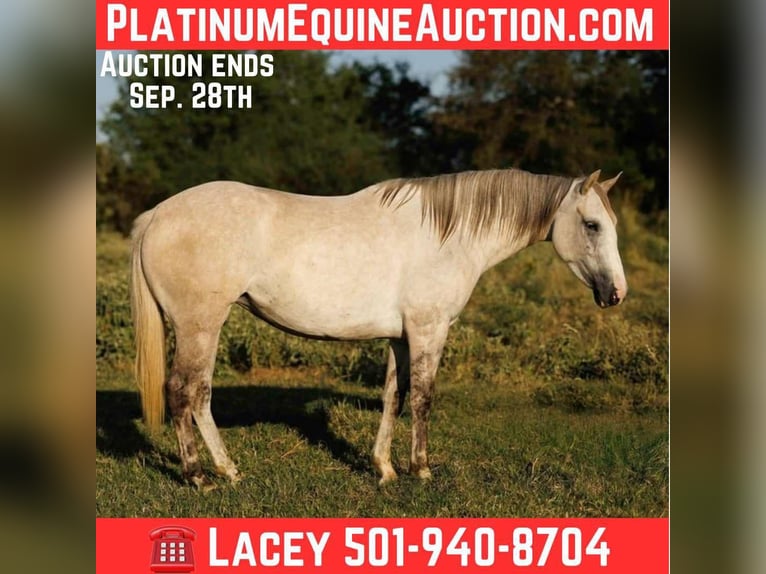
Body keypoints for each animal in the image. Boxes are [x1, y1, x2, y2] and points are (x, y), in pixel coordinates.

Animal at [130, 168, 626, 489]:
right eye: (591, 225)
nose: (617, 293)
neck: (447, 235)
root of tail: (156, 215)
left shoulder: (400, 338)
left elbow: (395, 396)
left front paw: (384, 469)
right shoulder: (428, 330)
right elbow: (423, 398)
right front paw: (421, 470)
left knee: (195, 396)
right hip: (200, 326)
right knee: (187, 393)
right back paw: (205, 476)